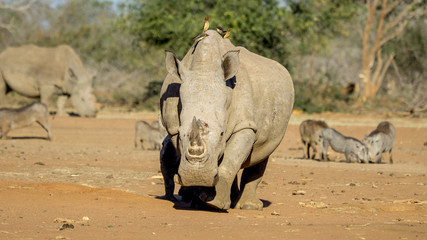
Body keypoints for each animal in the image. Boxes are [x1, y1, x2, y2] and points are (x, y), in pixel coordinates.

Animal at [160, 29, 294, 210]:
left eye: (222, 133)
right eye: (181, 134)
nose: (197, 176)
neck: (204, 68)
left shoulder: (244, 125)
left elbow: (231, 160)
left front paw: (214, 204)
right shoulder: (173, 128)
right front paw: (200, 200)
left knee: (262, 152)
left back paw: (248, 206)